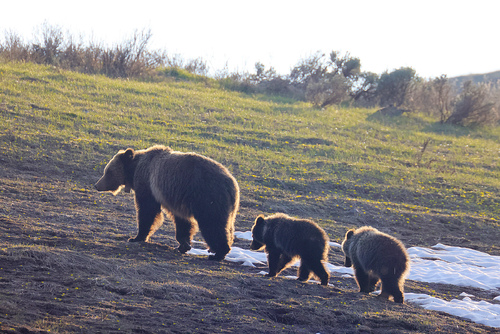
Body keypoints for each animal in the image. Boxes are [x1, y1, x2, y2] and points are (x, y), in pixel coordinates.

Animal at [97, 145, 240, 260]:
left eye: (108, 171)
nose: (97, 185)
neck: (134, 169)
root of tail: (232, 185)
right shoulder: (178, 200)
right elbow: (183, 222)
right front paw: (183, 245)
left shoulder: (148, 184)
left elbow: (147, 211)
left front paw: (136, 237)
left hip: (208, 197)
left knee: (212, 224)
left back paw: (218, 254)